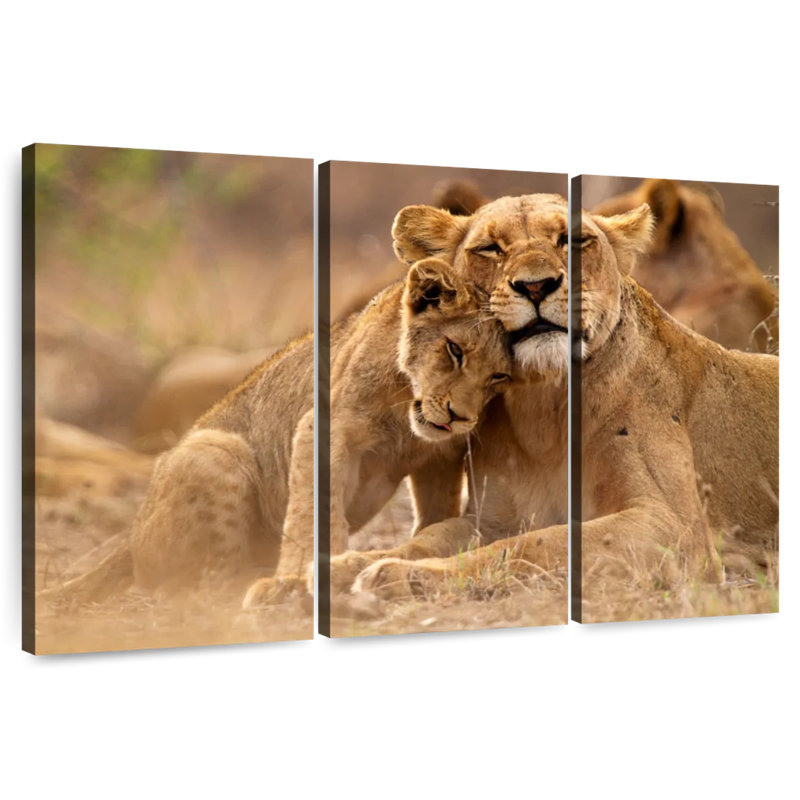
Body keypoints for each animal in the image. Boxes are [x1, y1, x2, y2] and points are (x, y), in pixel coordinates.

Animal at [242, 257, 513, 606]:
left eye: (499, 376)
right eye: (454, 350)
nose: (459, 417)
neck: (403, 400)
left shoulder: (441, 455)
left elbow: (437, 511)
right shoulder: (325, 427)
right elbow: (312, 512)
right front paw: (295, 579)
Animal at [349, 196, 778, 624]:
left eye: (573, 240)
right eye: (490, 248)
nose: (535, 285)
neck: (543, 407)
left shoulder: (677, 527)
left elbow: (536, 544)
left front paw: (399, 576)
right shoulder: (493, 519)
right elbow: (430, 536)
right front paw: (354, 564)